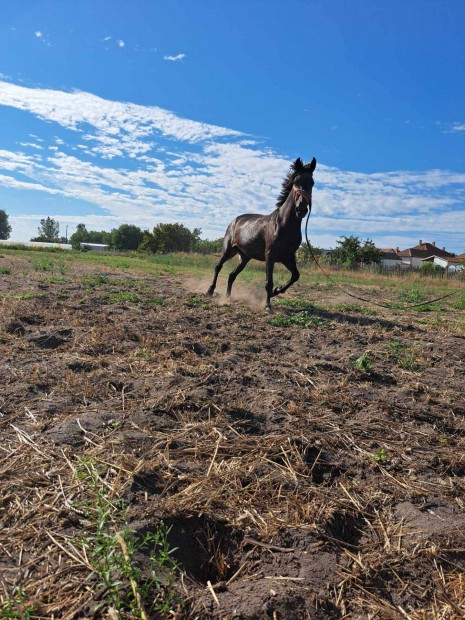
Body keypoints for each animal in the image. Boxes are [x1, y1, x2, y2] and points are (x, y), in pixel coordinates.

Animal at [207, 155, 316, 310]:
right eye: (296, 182)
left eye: (312, 183)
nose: (301, 209)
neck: (284, 225)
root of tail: (234, 220)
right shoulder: (270, 255)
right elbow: (268, 282)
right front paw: (267, 305)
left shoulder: (288, 256)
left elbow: (295, 276)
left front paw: (276, 291)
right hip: (228, 250)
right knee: (218, 266)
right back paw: (210, 291)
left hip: (244, 257)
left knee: (232, 275)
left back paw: (228, 297)